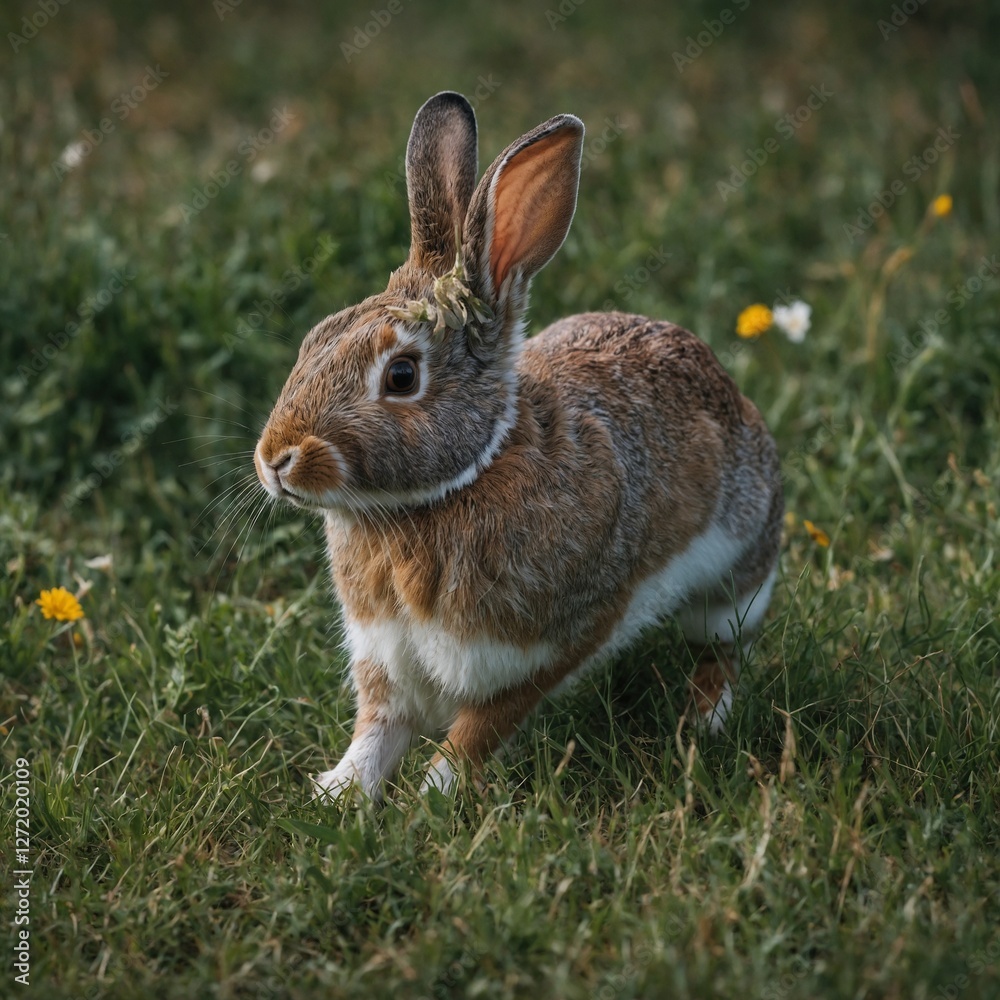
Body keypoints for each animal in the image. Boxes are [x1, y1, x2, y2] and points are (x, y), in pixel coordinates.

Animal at [253, 91, 783, 802]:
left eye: (401, 376)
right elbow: (378, 730)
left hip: (731, 585)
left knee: (723, 649)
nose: (274, 460)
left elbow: (478, 733)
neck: (456, 483)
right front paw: (339, 791)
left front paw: (433, 798)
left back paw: (702, 719)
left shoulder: (546, 647)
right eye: (314, 339)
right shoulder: (386, 657)